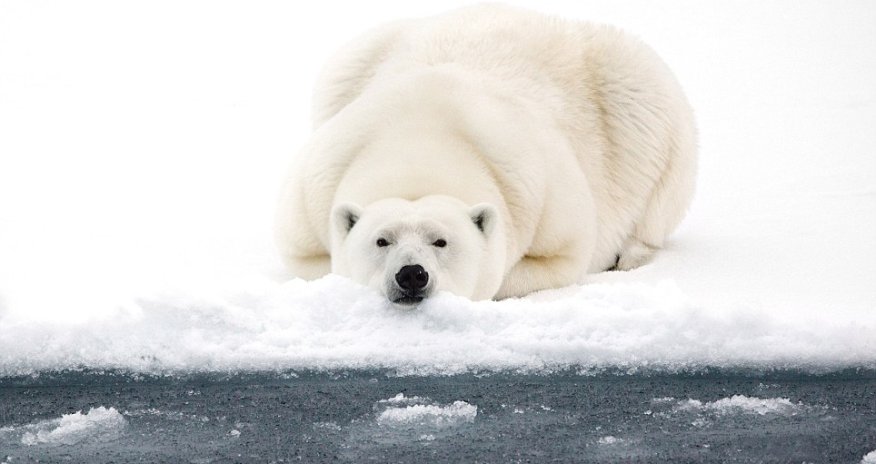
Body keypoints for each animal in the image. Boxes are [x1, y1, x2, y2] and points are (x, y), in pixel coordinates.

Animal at [275, 4, 697, 306]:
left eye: (441, 241)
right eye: (382, 240)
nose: (411, 274)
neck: (421, 139)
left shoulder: (542, 195)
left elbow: (554, 260)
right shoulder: (314, 192)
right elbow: (311, 265)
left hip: (638, 95)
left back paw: (628, 254)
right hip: (351, 63)